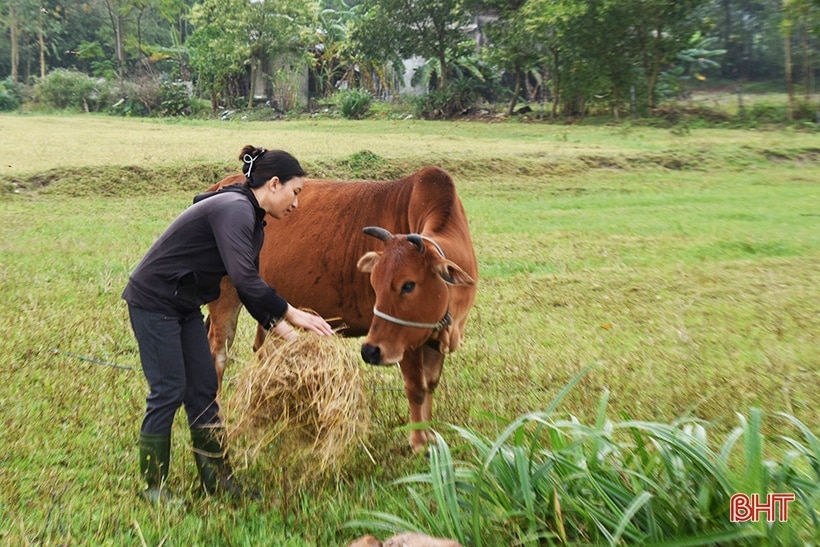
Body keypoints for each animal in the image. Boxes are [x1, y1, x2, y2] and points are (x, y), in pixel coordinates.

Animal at [203, 167, 480, 454]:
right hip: (226, 295)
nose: (370, 351)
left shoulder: (433, 338)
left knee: (262, 348)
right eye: (375, 283)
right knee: (219, 353)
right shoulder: (406, 342)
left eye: (408, 284)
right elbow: (417, 387)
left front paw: (431, 437)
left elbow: (431, 384)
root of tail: (220, 186)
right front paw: (418, 443)